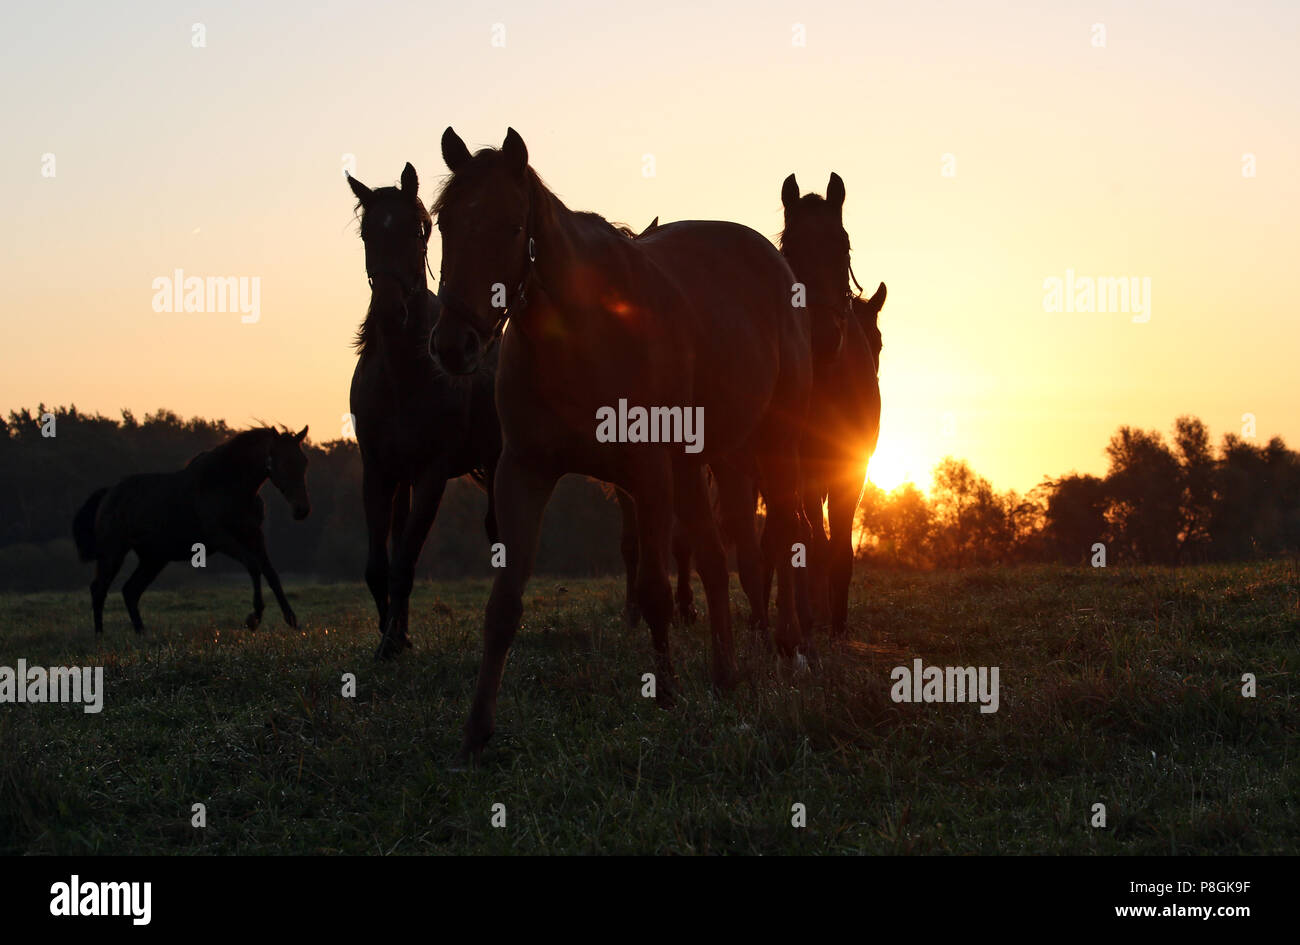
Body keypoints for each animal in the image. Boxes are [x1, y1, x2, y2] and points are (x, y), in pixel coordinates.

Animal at [345, 162, 501, 657]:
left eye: (417, 230)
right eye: (367, 234)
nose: (387, 309)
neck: (403, 375)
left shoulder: (433, 473)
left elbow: (405, 561)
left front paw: (393, 638)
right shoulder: (378, 470)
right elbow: (380, 564)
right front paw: (390, 636)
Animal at [431, 127, 806, 759]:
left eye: (511, 225)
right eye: (443, 222)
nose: (453, 345)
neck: (585, 336)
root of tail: (772, 259)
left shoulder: (647, 474)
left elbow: (655, 590)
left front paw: (668, 695)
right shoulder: (523, 472)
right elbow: (504, 602)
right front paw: (477, 728)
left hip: (767, 445)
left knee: (776, 538)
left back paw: (785, 650)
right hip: (702, 463)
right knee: (716, 556)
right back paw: (727, 672)